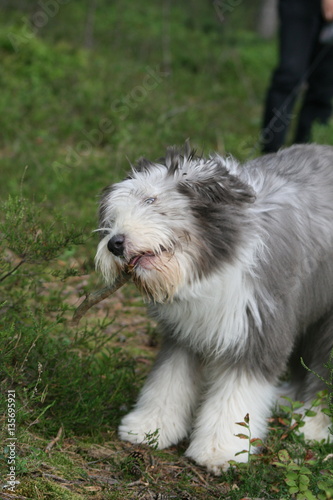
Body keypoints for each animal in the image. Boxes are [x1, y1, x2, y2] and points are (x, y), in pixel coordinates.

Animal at [94, 142, 332, 472]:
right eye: (112, 217)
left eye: (151, 200)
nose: (114, 243)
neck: (213, 264)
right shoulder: (185, 333)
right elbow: (168, 381)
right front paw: (151, 426)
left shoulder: (258, 330)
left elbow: (236, 397)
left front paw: (221, 450)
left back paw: (314, 426)